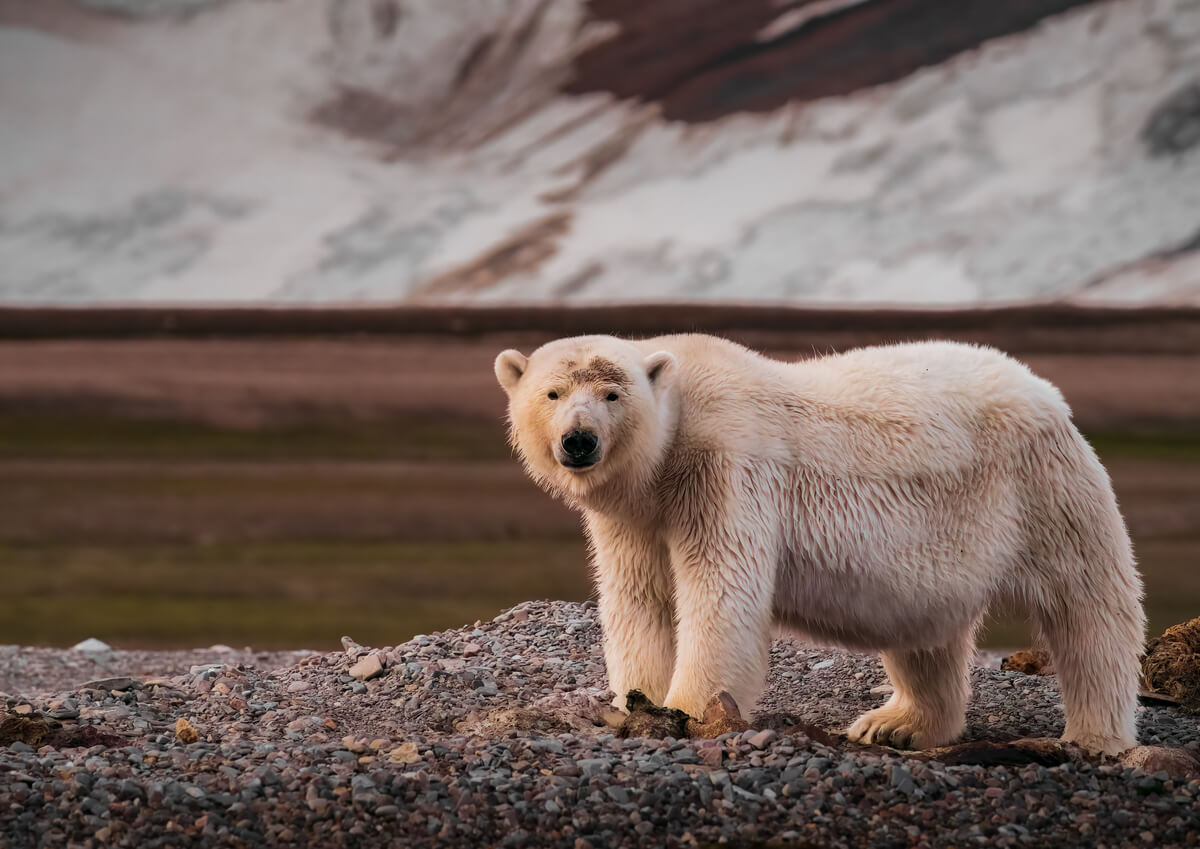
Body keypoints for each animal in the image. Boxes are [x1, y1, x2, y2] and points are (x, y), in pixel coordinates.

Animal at [494, 335, 1142, 753]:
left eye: (612, 394)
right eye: (553, 393)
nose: (579, 441)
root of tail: (1043, 388)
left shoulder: (726, 466)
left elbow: (719, 592)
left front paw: (683, 713)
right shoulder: (635, 513)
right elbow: (640, 599)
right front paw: (637, 702)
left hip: (1039, 487)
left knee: (1089, 606)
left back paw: (1094, 736)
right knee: (924, 633)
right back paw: (896, 724)